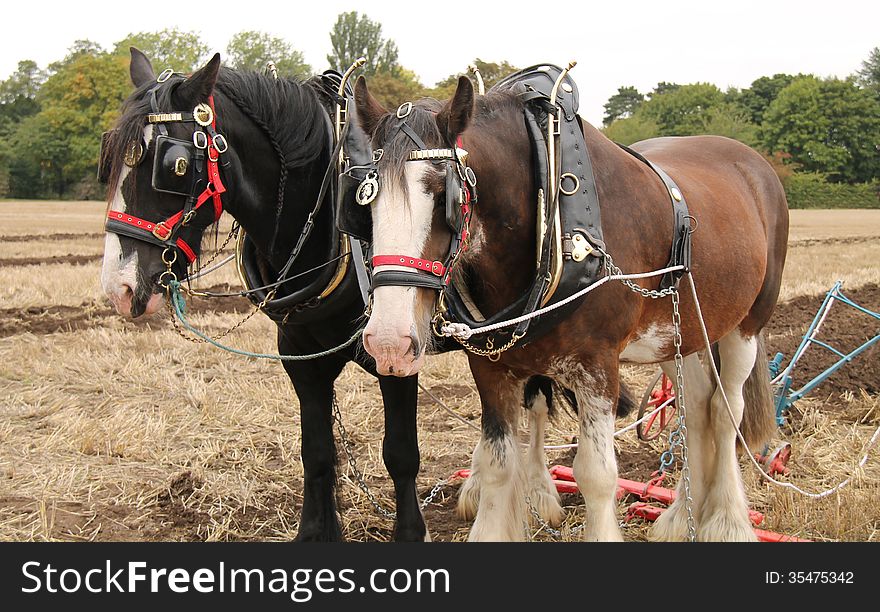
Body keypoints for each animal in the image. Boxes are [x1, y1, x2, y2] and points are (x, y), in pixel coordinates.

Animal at [100, 50, 430, 544]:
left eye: (173, 164)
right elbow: (317, 451)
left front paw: (409, 534)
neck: (330, 221)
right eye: (110, 156)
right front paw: (314, 532)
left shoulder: (398, 350)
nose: (118, 288)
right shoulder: (299, 355)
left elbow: (401, 453)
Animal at [354, 74, 788, 544]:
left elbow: (596, 474)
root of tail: (754, 163)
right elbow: (496, 464)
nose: (389, 343)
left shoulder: (598, 366)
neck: (551, 217)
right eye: (365, 200)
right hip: (680, 333)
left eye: (443, 196)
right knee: (695, 408)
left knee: (726, 413)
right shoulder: (489, 368)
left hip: (746, 324)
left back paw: (726, 520)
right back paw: (681, 517)